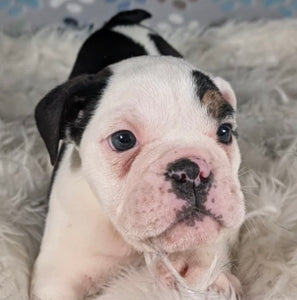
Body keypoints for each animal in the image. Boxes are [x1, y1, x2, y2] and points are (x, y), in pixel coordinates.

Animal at [31, 8, 245, 300]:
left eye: (225, 132)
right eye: (123, 139)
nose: (191, 170)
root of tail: (119, 22)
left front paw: (209, 277)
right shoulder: (57, 275)